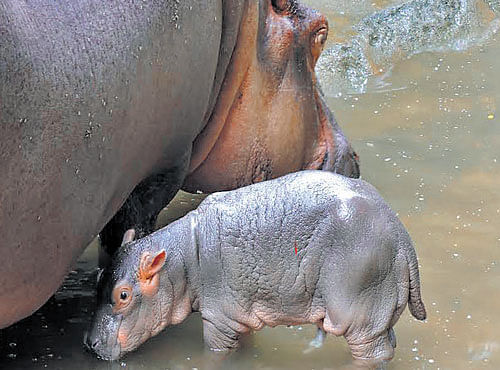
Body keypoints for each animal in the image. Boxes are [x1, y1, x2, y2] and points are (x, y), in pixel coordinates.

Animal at [87, 171, 426, 362]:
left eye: (123, 295)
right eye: (99, 278)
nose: (89, 343)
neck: (181, 257)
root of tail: (402, 236)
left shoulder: (219, 319)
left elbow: (215, 353)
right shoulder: (239, 315)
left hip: (359, 314)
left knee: (372, 353)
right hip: (378, 312)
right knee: (389, 343)